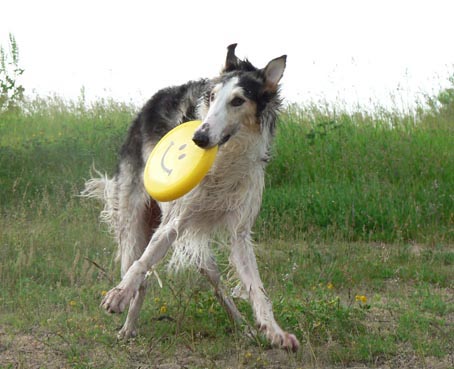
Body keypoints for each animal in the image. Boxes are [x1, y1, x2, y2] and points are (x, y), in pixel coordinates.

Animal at [82, 44, 298, 350]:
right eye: (212, 96)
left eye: (238, 101)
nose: (198, 138)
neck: (224, 159)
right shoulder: (173, 222)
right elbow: (141, 266)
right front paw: (118, 295)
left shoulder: (240, 234)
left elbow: (257, 290)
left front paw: (274, 331)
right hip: (133, 227)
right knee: (140, 275)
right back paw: (128, 326)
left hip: (201, 254)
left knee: (219, 287)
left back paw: (243, 327)